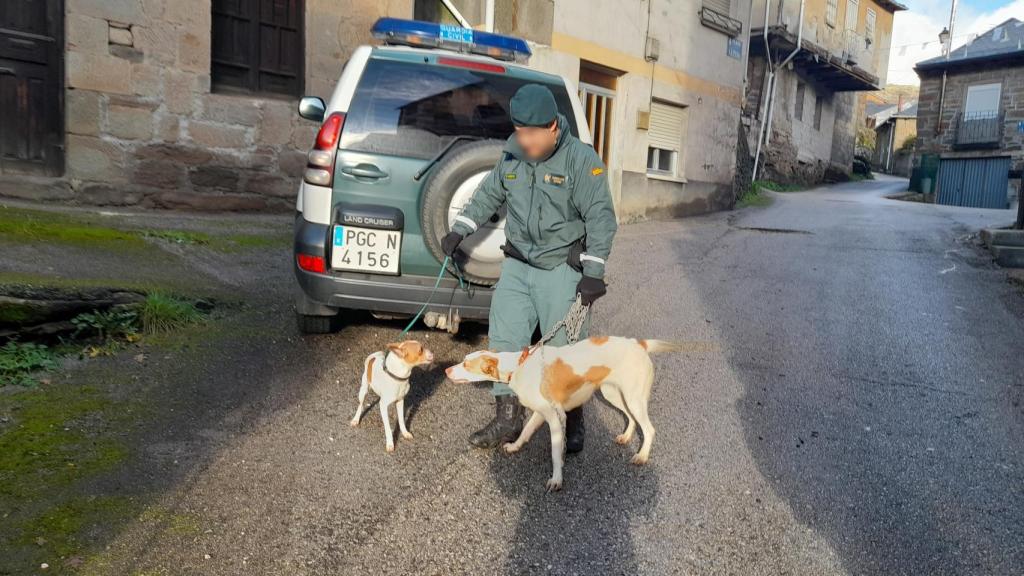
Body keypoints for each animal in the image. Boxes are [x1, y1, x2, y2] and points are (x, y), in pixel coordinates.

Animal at [446, 336, 679, 487]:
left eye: (466, 364)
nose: (446, 370)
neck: (518, 365)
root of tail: (638, 343)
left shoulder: (556, 418)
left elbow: (555, 452)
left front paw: (557, 479)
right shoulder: (540, 413)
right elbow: (525, 432)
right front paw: (514, 446)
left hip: (633, 397)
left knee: (649, 429)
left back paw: (642, 455)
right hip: (613, 393)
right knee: (631, 418)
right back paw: (626, 436)